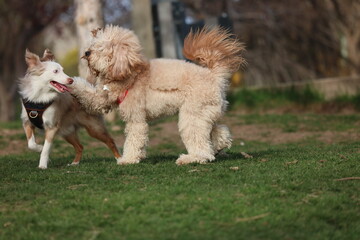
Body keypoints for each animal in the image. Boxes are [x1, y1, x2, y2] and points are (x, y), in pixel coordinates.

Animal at [67, 24, 245, 165]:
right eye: (93, 45)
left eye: (101, 48)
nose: (87, 53)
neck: (130, 73)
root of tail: (214, 75)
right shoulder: (102, 99)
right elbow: (86, 92)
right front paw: (67, 81)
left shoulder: (136, 118)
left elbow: (134, 139)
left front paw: (128, 159)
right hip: (204, 113)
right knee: (219, 131)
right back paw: (219, 146)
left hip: (192, 115)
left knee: (200, 143)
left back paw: (192, 158)